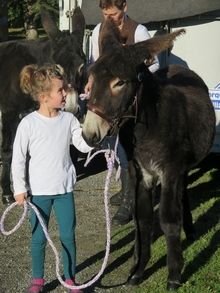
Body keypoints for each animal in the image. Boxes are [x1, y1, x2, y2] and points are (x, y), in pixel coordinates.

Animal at [81, 19, 216, 288]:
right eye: (91, 80)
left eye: (119, 83)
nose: (89, 134)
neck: (146, 129)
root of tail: (175, 66)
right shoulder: (140, 173)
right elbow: (142, 220)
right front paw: (138, 270)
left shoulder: (170, 170)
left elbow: (167, 219)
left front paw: (174, 275)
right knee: (182, 192)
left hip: (180, 167)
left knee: (181, 194)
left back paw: (189, 229)